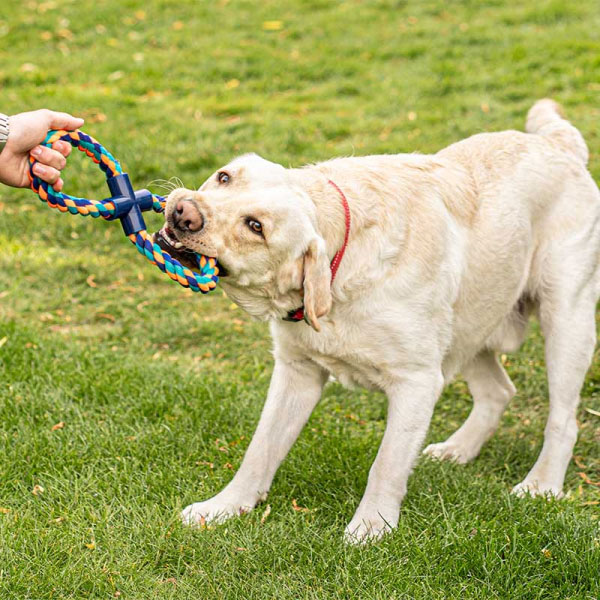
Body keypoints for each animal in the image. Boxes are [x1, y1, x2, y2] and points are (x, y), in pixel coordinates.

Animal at [156, 101, 600, 540]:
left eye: (256, 227)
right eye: (223, 177)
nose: (183, 212)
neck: (341, 263)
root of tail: (557, 142)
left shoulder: (417, 382)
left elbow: (385, 464)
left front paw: (370, 527)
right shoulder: (297, 370)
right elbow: (260, 448)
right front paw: (224, 507)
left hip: (565, 319)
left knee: (562, 419)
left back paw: (541, 484)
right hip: (468, 325)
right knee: (499, 391)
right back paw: (458, 449)